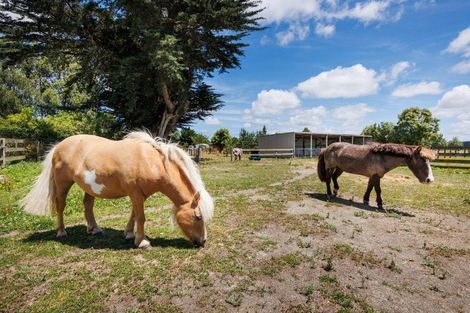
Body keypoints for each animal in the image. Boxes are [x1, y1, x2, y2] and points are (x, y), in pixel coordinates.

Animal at [20, 130, 214, 247]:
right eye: (198, 216)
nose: (203, 241)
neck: (152, 162)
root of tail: (58, 146)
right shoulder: (135, 194)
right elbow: (141, 217)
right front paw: (142, 242)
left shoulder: (140, 195)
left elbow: (134, 215)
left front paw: (129, 234)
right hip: (63, 184)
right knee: (60, 206)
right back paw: (61, 232)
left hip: (89, 188)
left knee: (88, 205)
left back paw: (94, 229)